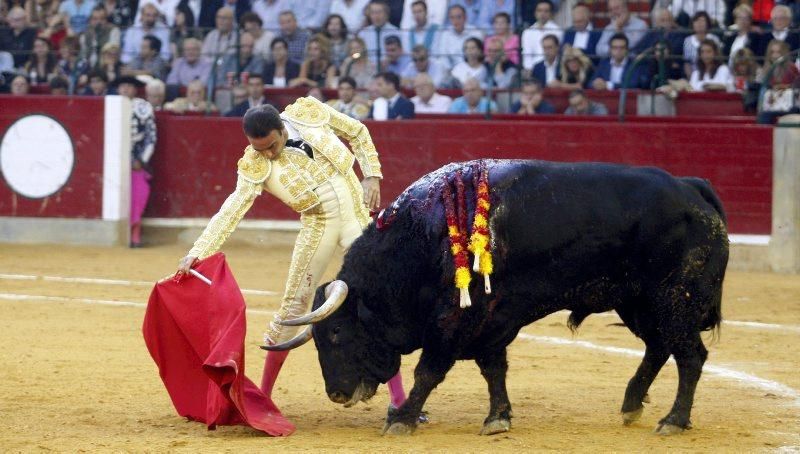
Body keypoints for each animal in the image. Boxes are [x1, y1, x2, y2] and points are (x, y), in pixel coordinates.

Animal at [276, 159, 732, 432]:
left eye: (336, 334)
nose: (336, 393)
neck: (421, 238)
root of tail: (692, 188)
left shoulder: (454, 321)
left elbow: (429, 371)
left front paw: (402, 419)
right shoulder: (490, 322)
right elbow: (494, 369)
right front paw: (498, 417)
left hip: (674, 299)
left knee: (690, 356)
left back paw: (674, 420)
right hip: (640, 303)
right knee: (659, 347)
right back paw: (632, 404)